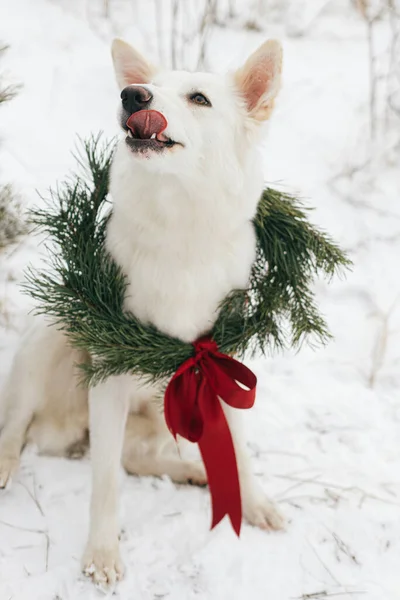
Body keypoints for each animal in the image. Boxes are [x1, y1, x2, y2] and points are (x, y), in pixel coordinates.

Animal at [0, 39, 284, 588]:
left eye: (199, 98)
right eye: (145, 87)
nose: (132, 95)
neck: (181, 229)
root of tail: (66, 429)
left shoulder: (224, 362)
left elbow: (237, 451)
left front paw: (254, 501)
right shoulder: (108, 378)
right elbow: (106, 481)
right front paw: (102, 554)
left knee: (135, 458)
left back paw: (194, 471)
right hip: (49, 337)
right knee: (16, 422)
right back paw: (5, 462)